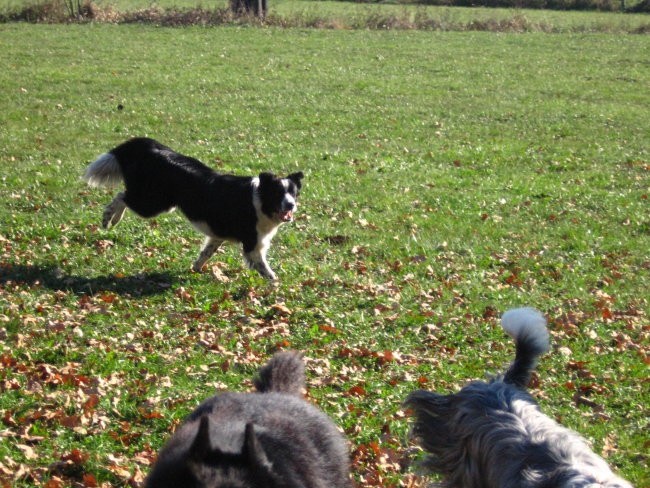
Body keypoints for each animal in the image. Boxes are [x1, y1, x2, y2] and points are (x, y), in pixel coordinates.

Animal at [83, 138, 302, 282]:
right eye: (278, 194)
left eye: (293, 193)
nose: (291, 205)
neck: (260, 201)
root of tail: (150, 147)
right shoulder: (252, 244)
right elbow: (265, 268)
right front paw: (276, 284)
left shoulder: (217, 235)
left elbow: (206, 253)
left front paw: (195, 268)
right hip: (154, 204)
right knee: (122, 196)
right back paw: (109, 218)